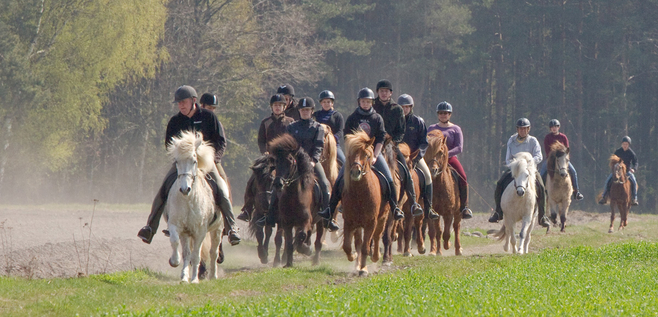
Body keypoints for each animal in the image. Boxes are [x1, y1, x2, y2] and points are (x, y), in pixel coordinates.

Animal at [165, 130, 222, 282]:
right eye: (177, 161)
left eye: (194, 161)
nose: (185, 189)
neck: (188, 200)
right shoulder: (178, 227)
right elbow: (176, 244)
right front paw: (178, 267)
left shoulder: (200, 231)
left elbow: (197, 255)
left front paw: (195, 279)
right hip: (187, 234)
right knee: (188, 252)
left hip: (218, 229)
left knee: (214, 252)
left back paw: (213, 276)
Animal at [268, 134, 324, 266]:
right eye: (276, 161)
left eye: (290, 160)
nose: (278, 184)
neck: (294, 197)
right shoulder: (286, 222)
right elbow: (288, 242)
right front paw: (288, 263)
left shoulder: (306, 220)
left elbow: (301, 236)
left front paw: (306, 249)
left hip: (321, 221)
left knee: (317, 240)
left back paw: (315, 260)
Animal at [340, 130, 392, 276]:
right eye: (350, 154)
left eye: (367, 156)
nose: (355, 172)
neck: (360, 195)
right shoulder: (349, 221)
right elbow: (348, 246)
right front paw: (354, 259)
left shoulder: (371, 222)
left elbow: (365, 247)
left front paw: (363, 269)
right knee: (358, 242)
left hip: (382, 218)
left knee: (377, 236)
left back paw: (375, 257)